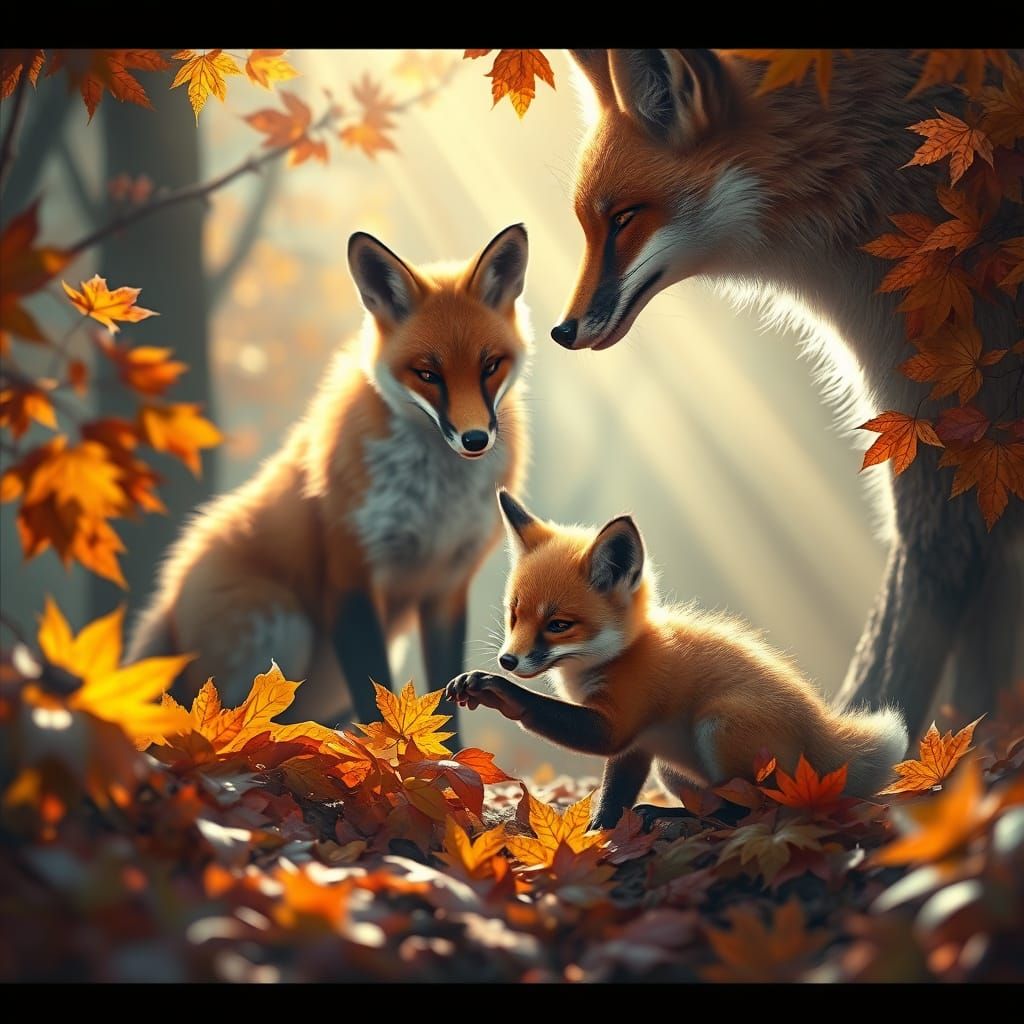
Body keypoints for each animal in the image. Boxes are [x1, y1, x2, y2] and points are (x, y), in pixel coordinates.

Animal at [127, 225, 532, 742]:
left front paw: (452, 758)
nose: (475, 439)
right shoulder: (350, 574)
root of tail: (169, 595)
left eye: (490, 366)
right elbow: (375, 692)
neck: (436, 503)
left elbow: (448, 699)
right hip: (283, 625)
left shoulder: (447, 585)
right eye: (428, 374)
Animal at [446, 490, 909, 828]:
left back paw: (684, 818)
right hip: (673, 769)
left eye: (558, 625)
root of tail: (823, 734)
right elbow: (615, 794)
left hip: (721, 724)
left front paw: (497, 691)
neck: (621, 655)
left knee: (752, 810)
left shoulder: (621, 720)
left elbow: (564, 723)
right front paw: (602, 831)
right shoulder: (637, 744)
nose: (507, 661)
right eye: (514, 615)